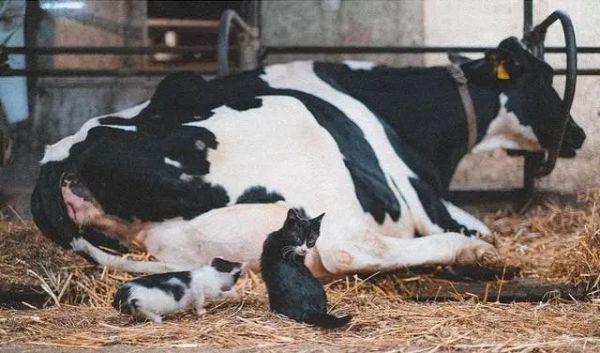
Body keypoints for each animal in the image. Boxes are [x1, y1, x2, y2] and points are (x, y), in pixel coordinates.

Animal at [30, 36, 584, 278]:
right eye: (545, 78)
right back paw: (467, 253)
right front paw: (478, 243)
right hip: (301, 133)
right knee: (347, 251)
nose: (578, 135)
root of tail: (61, 156)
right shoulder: (423, 193)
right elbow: (482, 226)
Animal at [112, 256, 244, 322]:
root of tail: (124, 294)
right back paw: (159, 320)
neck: (213, 273)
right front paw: (202, 313)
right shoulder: (201, 292)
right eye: (237, 277)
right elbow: (201, 302)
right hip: (142, 303)